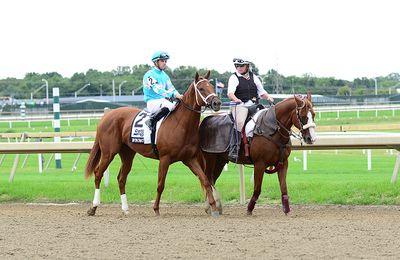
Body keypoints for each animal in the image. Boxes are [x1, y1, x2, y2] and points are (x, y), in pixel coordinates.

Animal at [85, 71, 222, 217]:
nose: (217, 103)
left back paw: (125, 209)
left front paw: (214, 208)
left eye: (211, 86)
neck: (181, 124)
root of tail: (105, 117)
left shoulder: (189, 159)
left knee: (121, 178)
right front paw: (156, 208)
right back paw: (93, 207)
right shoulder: (165, 159)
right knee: (98, 173)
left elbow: (205, 181)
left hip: (127, 154)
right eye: (201, 89)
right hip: (108, 152)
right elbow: (160, 185)